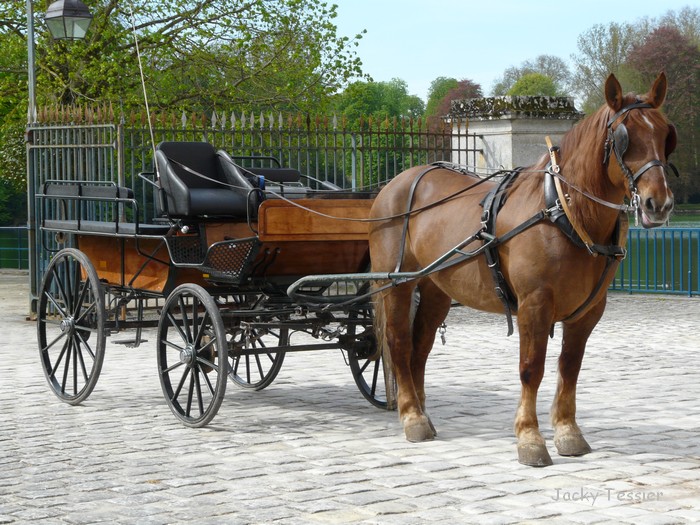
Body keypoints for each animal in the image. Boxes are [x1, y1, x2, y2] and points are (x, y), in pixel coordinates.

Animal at [370, 71, 676, 464]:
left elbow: (570, 366)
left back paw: (422, 413)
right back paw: (411, 416)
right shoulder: (535, 303)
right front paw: (530, 437)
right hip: (397, 284)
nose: (659, 203)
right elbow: (532, 368)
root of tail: (397, 181)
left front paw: (568, 431)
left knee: (419, 347)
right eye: (624, 137)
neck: (564, 210)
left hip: (436, 288)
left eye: (665, 134)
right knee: (399, 342)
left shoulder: (588, 310)